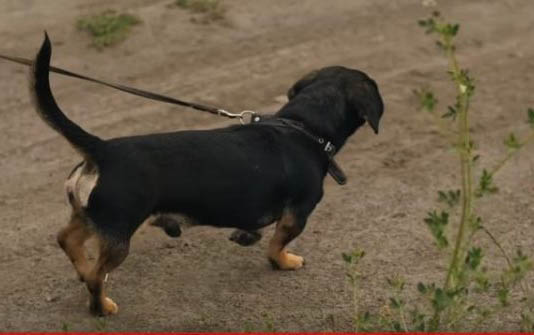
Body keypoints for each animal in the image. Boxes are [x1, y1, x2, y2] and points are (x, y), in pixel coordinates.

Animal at [30, 32, 386, 316]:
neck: (302, 126)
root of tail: (102, 150)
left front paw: (246, 237)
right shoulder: (296, 215)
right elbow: (276, 245)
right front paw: (284, 262)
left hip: (91, 217)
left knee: (66, 240)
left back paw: (83, 269)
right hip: (119, 233)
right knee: (95, 277)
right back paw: (101, 307)